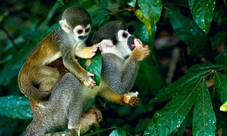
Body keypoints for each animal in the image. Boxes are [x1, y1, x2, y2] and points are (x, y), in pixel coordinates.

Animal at [23, 21, 151, 135]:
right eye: (125, 35)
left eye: (128, 32)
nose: (133, 36)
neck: (114, 53)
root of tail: (38, 116)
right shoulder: (107, 62)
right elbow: (119, 86)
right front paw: (138, 53)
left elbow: (104, 89)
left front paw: (126, 98)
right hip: (53, 111)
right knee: (70, 80)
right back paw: (74, 125)